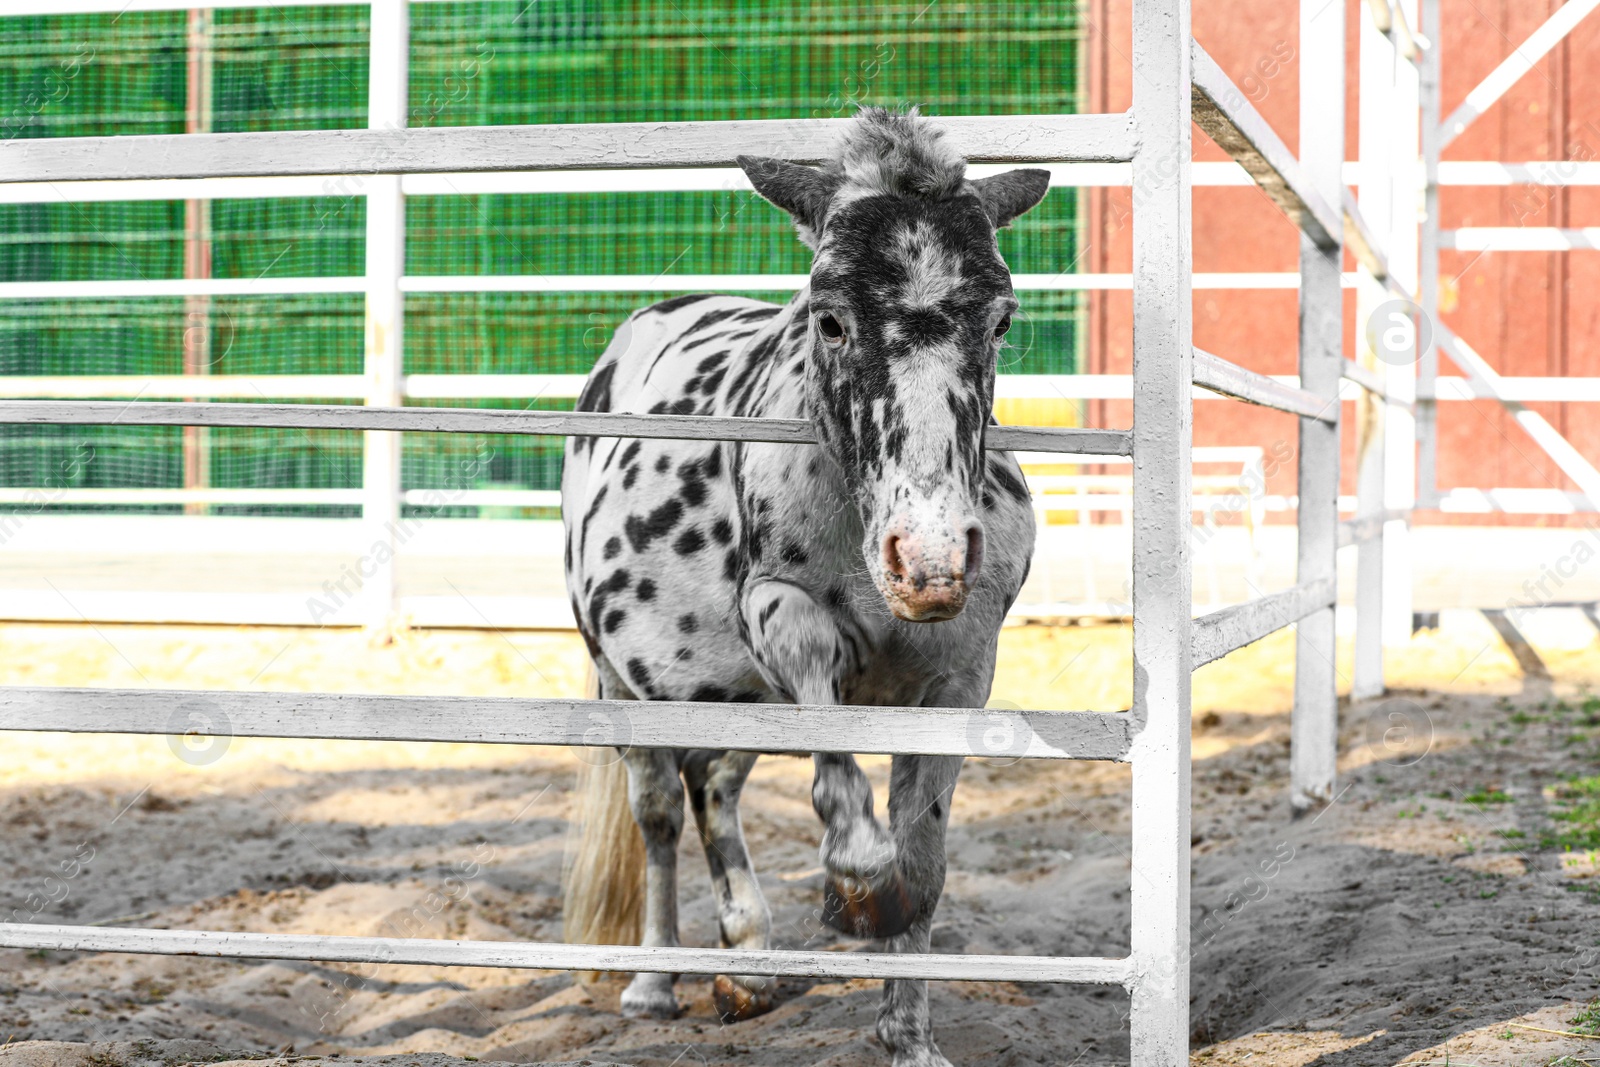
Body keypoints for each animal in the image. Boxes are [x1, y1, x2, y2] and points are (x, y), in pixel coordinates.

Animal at [563, 106, 1049, 1062]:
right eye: (828, 318)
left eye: (1001, 318)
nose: (928, 559)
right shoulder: (777, 614)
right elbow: (837, 764)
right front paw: (859, 882)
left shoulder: (961, 676)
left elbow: (925, 862)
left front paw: (909, 1033)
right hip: (624, 685)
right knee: (659, 812)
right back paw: (653, 982)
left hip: (732, 696)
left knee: (714, 788)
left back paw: (749, 963)